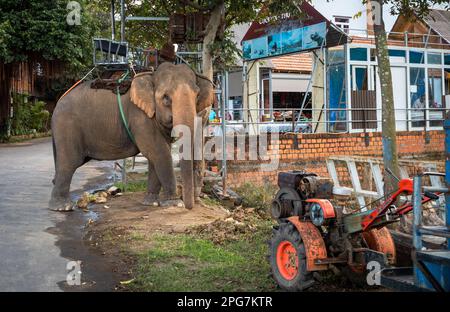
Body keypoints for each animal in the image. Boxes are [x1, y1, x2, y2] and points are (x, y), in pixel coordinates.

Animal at [49, 61, 214, 211]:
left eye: (197, 95)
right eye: (166, 97)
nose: (190, 207)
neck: (151, 75)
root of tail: (59, 101)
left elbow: (157, 155)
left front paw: (151, 203)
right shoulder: (139, 116)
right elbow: (159, 151)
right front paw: (174, 204)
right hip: (67, 126)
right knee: (69, 162)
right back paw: (62, 207)